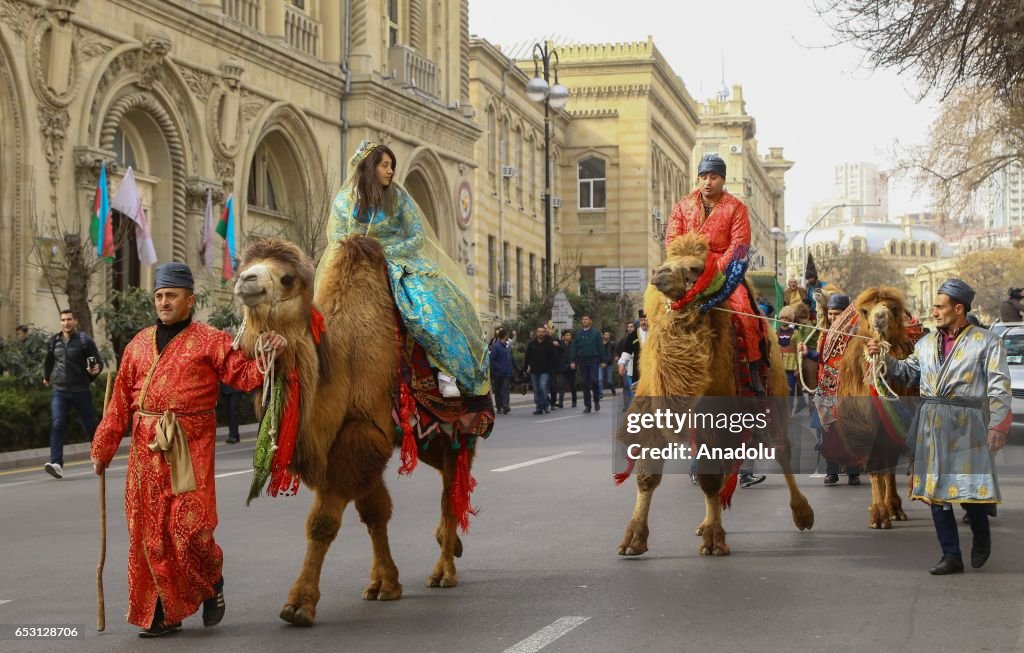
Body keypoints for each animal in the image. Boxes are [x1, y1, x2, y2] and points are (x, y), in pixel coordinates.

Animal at [233, 236, 475, 630]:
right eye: (242, 264)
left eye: (287, 278)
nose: (246, 281)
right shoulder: (354, 440)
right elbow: (374, 511)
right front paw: (384, 584)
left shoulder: (361, 433)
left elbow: (323, 522)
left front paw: (298, 605)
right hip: (427, 437)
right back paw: (449, 545)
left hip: (458, 428)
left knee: (451, 492)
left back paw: (444, 572)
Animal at [614, 233, 815, 560]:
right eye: (668, 261)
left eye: (695, 269)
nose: (660, 273)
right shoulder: (654, 414)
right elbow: (647, 475)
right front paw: (633, 540)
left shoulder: (717, 416)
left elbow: (709, 478)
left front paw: (713, 541)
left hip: (772, 398)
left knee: (781, 450)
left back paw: (803, 514)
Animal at [831, 286, 921, 532]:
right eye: (865, 311)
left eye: (894, 308)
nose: (880, 317)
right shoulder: (862, 427)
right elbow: (875, 469)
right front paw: (878, 516)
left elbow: (887, 467)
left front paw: (890, 511)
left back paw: (895, 508)